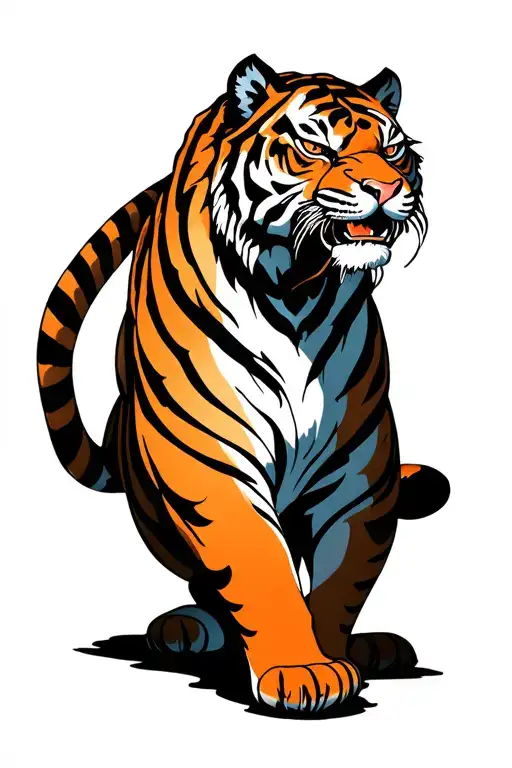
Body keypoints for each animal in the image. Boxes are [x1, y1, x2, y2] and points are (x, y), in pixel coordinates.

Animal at [37, 55, 450, 715]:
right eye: (316, 145)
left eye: (394, 151)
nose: (388, 191)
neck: (303, 292)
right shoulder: (211, 460)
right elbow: (257, 564)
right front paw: (300, 670)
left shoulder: (357, 475)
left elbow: (340, 578)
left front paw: (332, 656)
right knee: (203, 584)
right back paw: (187, 630)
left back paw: (377, 648)